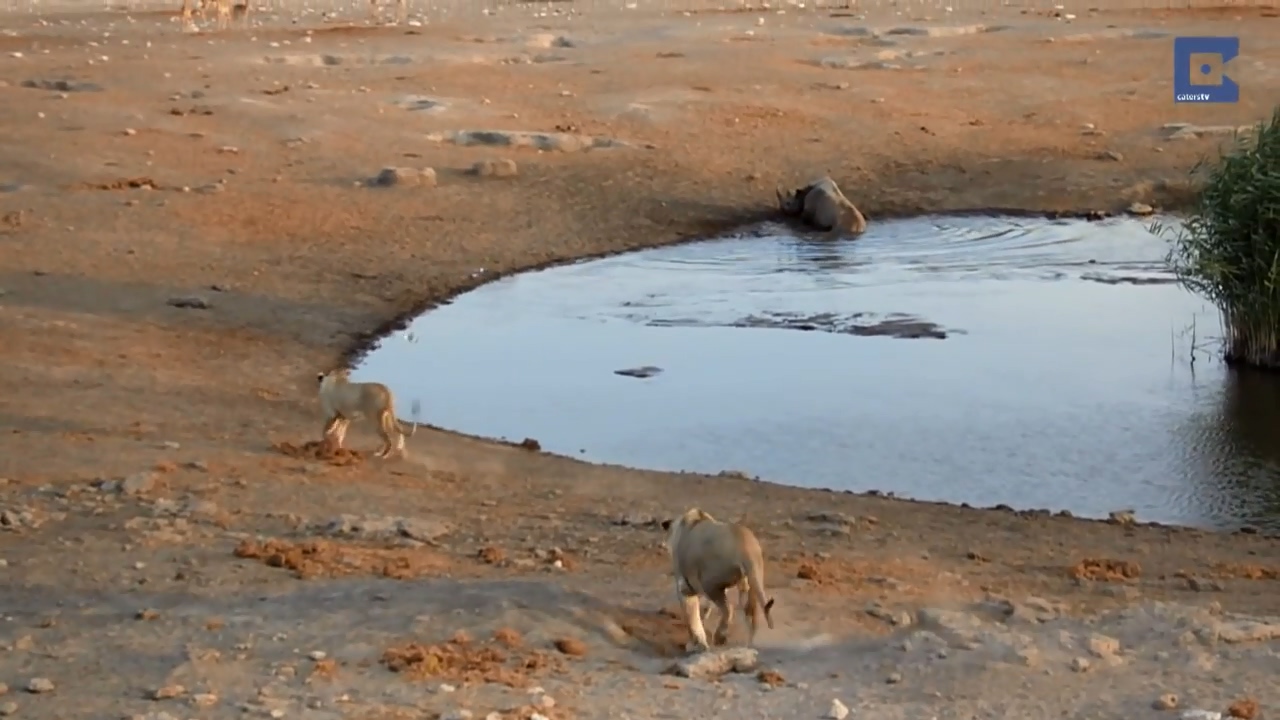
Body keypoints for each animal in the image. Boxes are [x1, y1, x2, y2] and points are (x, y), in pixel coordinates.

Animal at [662, 508, 776, 653]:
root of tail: (744, 545)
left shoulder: (685, 588)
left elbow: (692, 617)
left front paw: (696, 644)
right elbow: (703, 611)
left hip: (710, 584)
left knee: (729, 609)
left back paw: (719, 637)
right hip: (751, 582)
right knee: (751, 617)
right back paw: (748, 646)